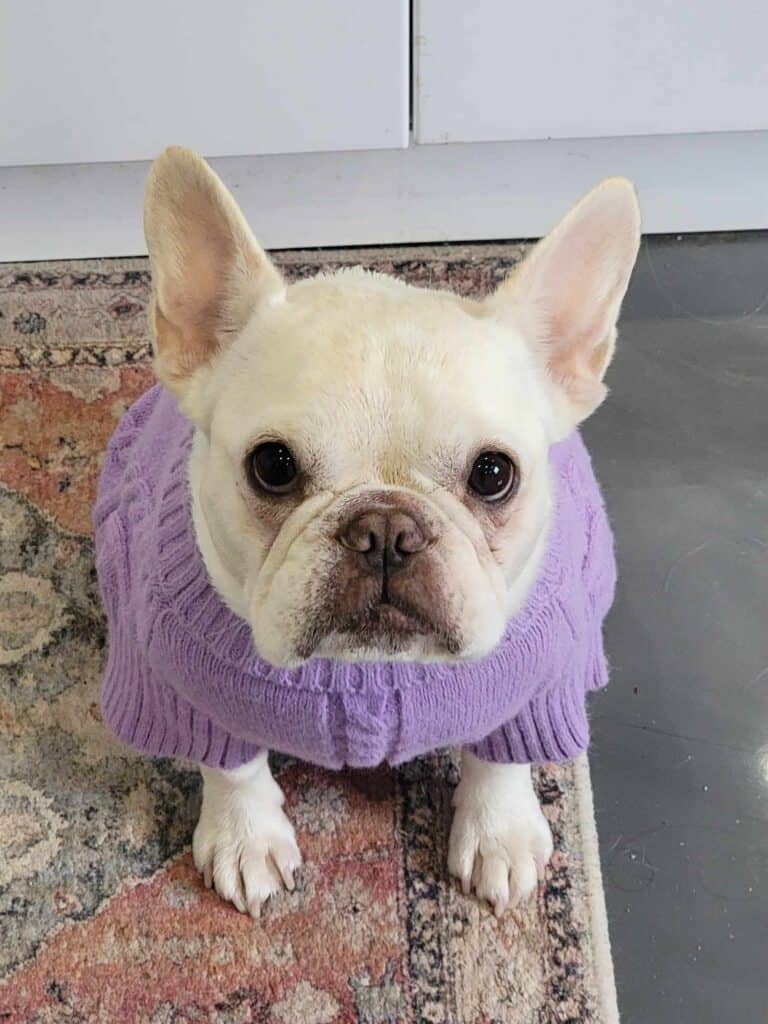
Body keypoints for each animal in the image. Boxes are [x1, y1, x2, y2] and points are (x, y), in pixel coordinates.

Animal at [93, 149, 638, 921]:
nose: (385, 529)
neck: (370, 667)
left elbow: (502, 754)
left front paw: (498, 832)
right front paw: (244, 837)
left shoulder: (537, 686)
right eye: (273, 466)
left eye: (494, 474)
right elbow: (230, 763)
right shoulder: (184, 687)